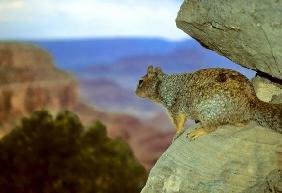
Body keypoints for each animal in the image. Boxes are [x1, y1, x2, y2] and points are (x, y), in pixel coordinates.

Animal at [135, 65, 282, 140]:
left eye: (140, 81)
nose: (135, 92)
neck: (162, 85)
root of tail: (251, 101)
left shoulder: (174, 107)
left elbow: (179, 122)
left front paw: (176, 133)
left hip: (207, 111)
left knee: (212, 127)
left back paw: (198, 132)